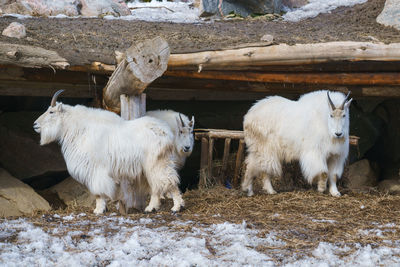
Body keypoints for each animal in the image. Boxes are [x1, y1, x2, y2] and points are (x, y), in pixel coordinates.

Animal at [34, 91, 184, 215]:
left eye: (51, 112)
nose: (35, 125)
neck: (80, 129)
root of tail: (167, 133)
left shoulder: (95, 170)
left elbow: (98, 192)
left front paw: (98, 210)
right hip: (150, 167)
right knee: (156, 186)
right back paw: (152, 208)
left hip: (157, 163)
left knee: (168, 181)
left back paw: (175, 207)